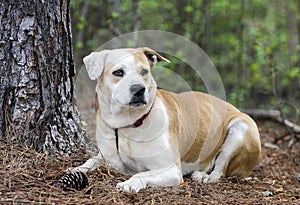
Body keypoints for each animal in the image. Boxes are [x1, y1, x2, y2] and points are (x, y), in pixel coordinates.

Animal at [72, 46, 260, 192]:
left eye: (144, 72)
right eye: (118, 72)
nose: (139, 90)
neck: (127, 123)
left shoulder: (172, 170)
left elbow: (141, 173)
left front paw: (129, 183)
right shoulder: (110, 159)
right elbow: (91, 160)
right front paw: (75, 169)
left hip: (240, 129)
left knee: (220, 169)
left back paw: (204, 176)